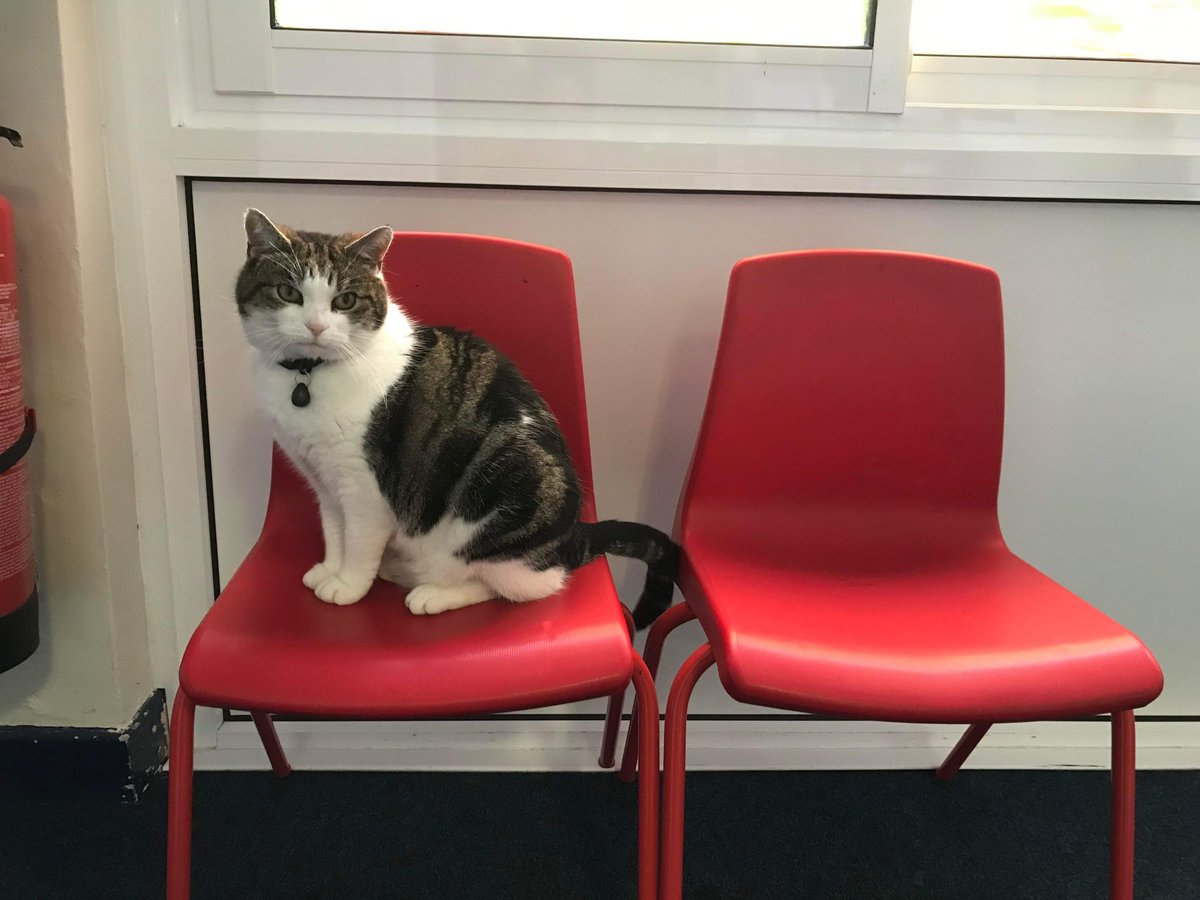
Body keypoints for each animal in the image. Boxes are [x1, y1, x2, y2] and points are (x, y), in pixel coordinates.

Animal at [231, 211, 676, 628]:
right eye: (288, 293)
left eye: (345, 301)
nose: (316, 326)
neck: (308, 374)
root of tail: (576, 534)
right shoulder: (323, 479)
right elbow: (334, 532)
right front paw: (328, 571)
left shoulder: (361, 487)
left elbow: (357, 542)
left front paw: (348, 586)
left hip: (500, 508)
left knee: (521, 586)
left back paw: (432, 592)